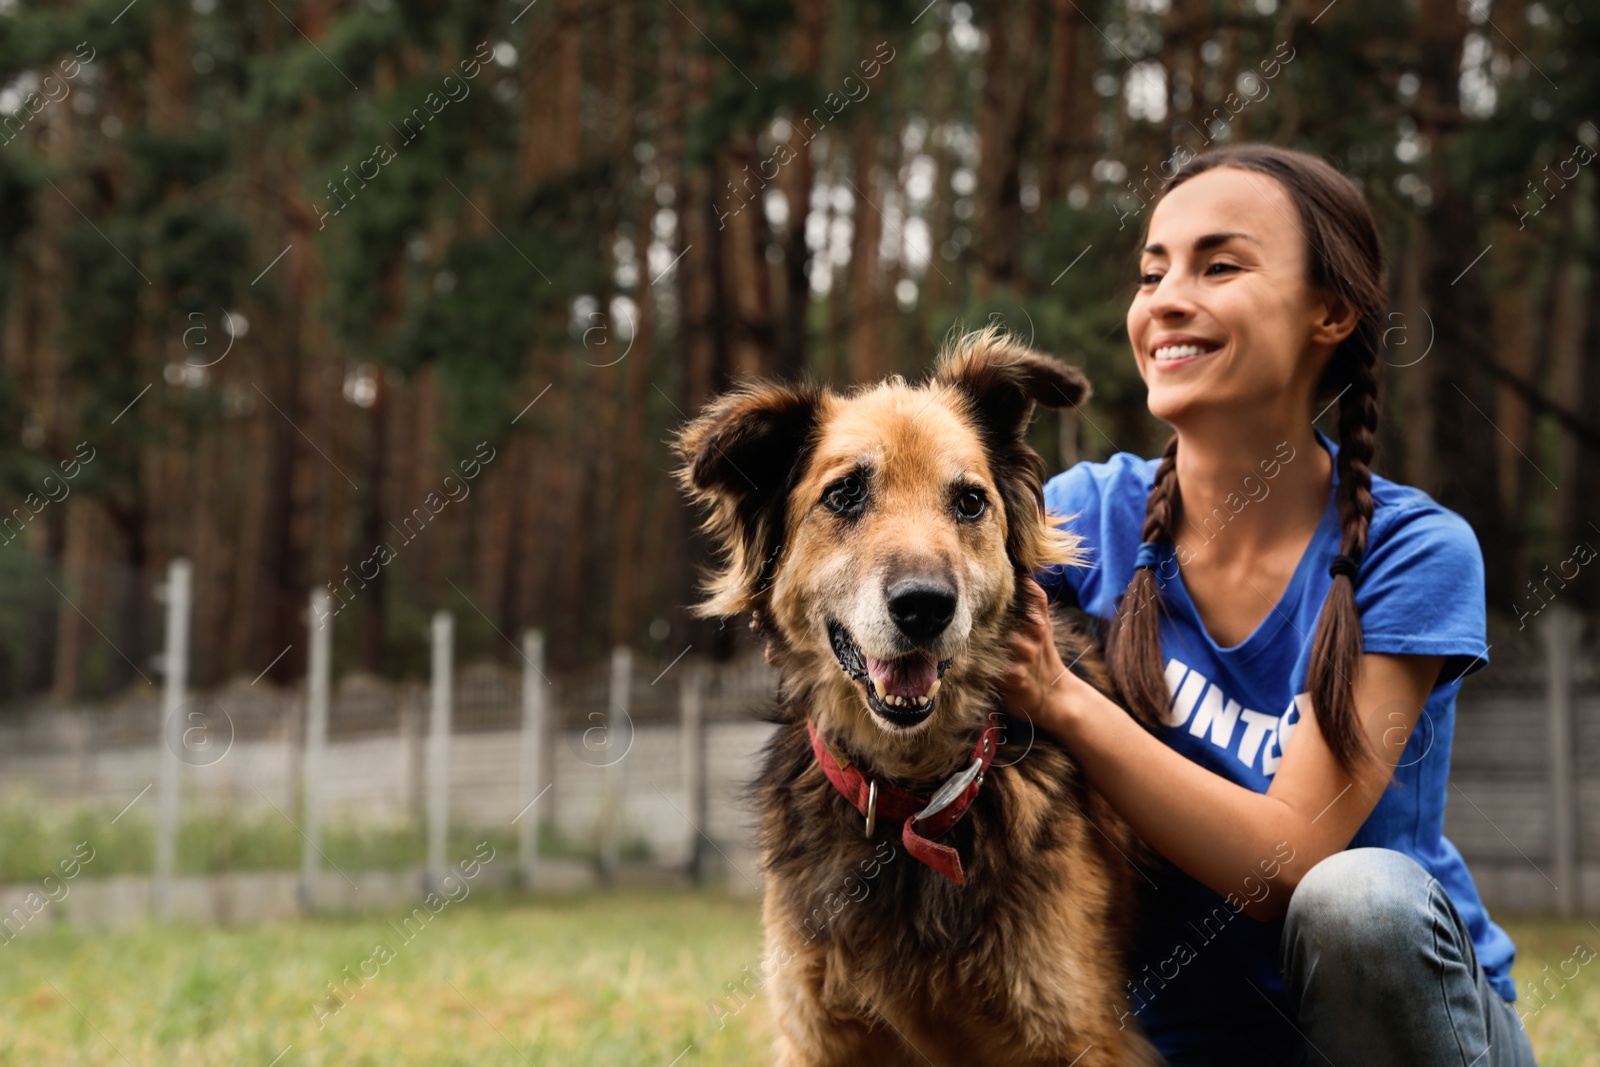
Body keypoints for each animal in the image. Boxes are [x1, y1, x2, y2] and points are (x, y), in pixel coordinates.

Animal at [668, 327, 1158, 1067]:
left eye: (970, 501)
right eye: (845, 494)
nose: (925, 606)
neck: (911, 802)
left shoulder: (1081, 1035)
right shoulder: (819, 1034)